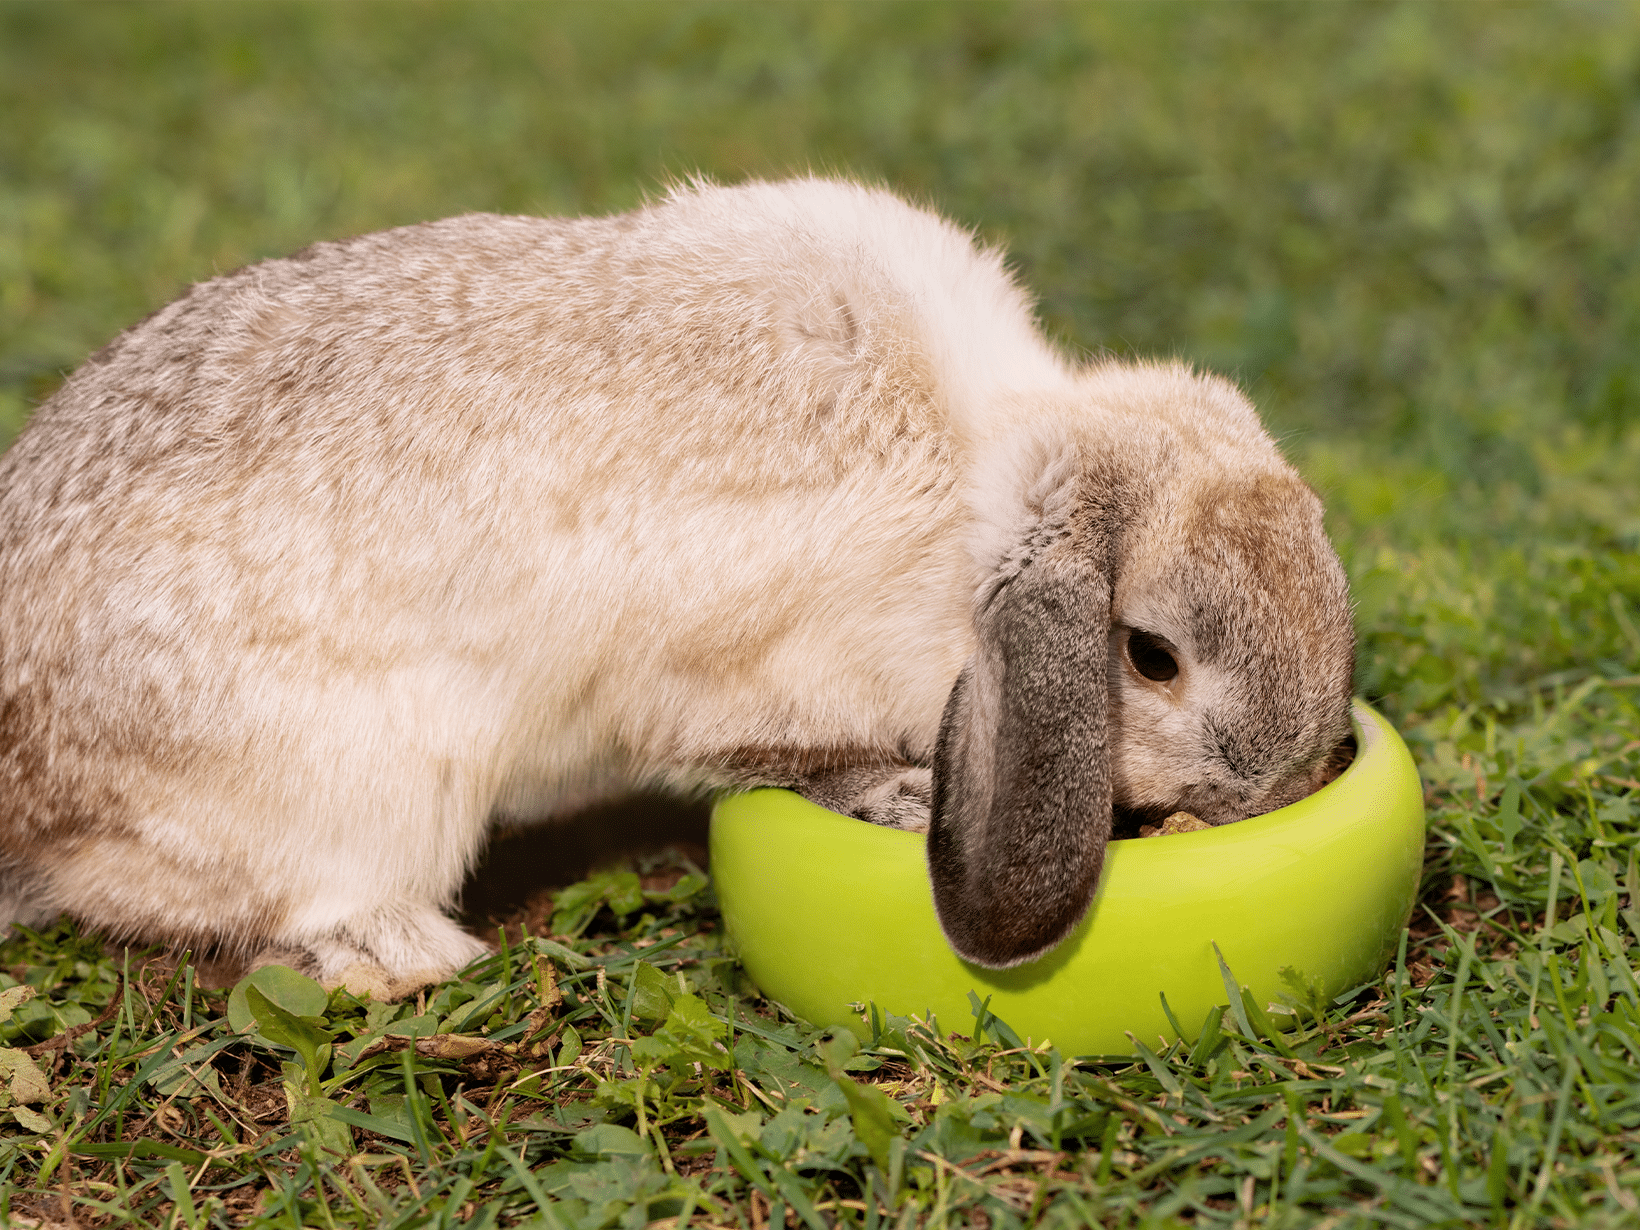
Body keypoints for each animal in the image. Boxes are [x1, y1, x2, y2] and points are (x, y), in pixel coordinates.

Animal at [0, 177, 1357, 997]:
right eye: (1148, 654)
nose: (1272, 787)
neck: (964, 503)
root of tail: (32, 789)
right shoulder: (723, 684)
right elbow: (768, 753)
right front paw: (894, 793)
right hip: (358, 793)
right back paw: (412, 951)